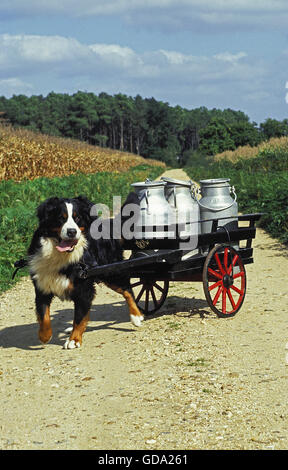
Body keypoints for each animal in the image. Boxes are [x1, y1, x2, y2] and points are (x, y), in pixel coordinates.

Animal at [28, 195, 143, 348]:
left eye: (77, 218)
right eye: (60, 218)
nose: (72, 231)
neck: (61, 257)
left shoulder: (83, 288)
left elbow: (79, 317)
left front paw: (74, 339)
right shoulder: (42, 286)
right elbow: (43, 315)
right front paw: (44, 336)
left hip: (110, 272)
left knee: (127, 290)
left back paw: (136, 316)